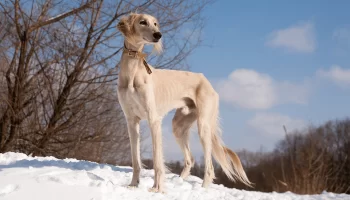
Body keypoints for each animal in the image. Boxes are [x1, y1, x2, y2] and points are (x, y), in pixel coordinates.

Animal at [117, 12, 252, 192]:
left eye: (155, 24)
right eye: (143, 22)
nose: (158, 35)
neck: (133, 72)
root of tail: (207, 81)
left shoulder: (154, 120)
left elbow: (157, 159)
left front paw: (157, 189)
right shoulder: (131, 121)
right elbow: (135, 159)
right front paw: (133, 185)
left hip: (204, 126)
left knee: (209, 167)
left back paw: (202, 189)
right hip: (179, 126)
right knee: (190, 159)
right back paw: (180, 182)